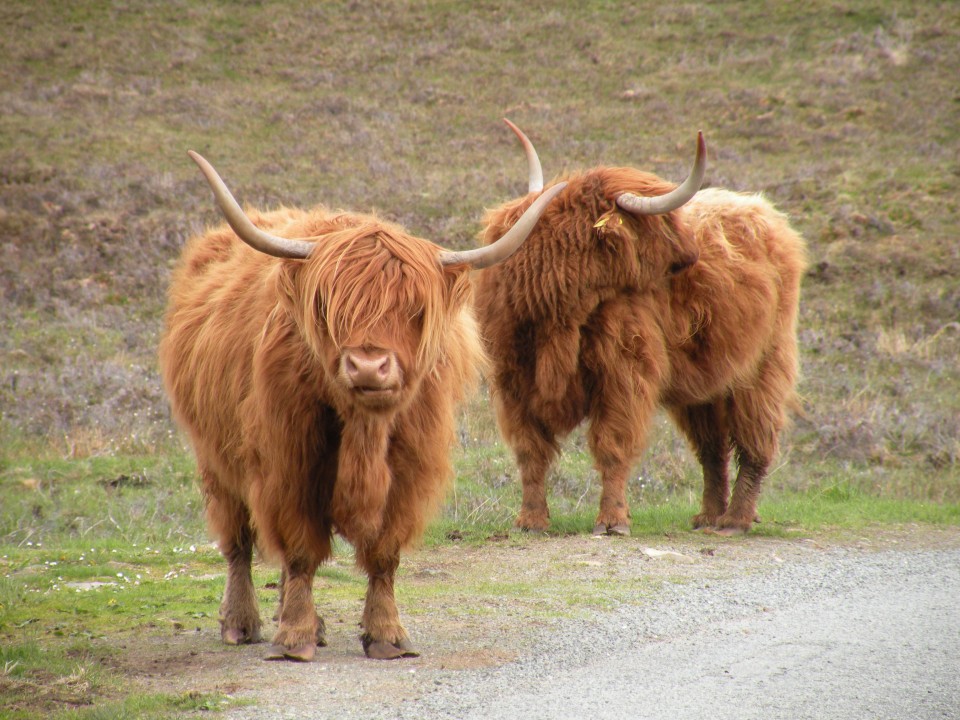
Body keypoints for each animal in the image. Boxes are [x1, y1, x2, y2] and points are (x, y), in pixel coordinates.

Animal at [157, 150, 564, 660]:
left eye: (415, 309)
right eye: (329, 306)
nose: (369, 367)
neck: (364, 434)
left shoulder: (408, 471)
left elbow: (384, 555)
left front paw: (386, 634)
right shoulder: (288, 464)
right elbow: (300, 550)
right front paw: (294, 637)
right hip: (214, 456)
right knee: (238, 542)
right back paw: (241, 623)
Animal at [476, 119, 808, 536]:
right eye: (662, 222)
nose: (691, 256)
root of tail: (765, 212)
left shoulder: (623, 374)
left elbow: (612, 445)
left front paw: (612, 521)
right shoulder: (513, 382)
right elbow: (530, 451)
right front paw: (531, 520)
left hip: (763, 368)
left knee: (755, 442)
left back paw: (735, 520)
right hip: (704, 389)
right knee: (712, 449)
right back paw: (708, 516)